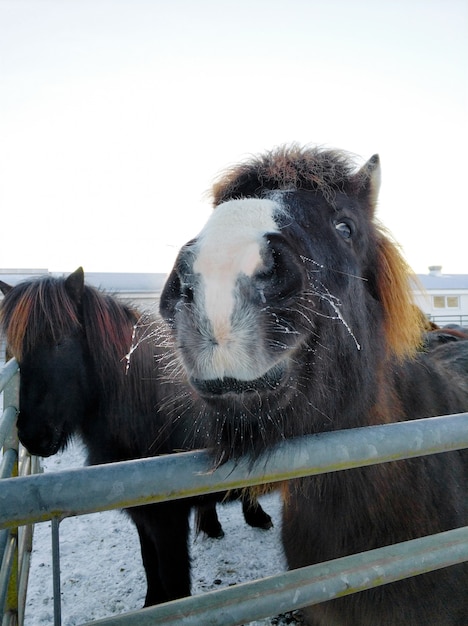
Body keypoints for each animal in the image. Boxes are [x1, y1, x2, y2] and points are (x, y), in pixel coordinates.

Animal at [0, 268, 270, 604]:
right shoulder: (142, 509)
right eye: (15, 350)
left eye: (60, 341)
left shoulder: (168, 519)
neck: (149, 410)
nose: (32, 436)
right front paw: (152, 602)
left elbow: (176, 582)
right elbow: (149, 563)